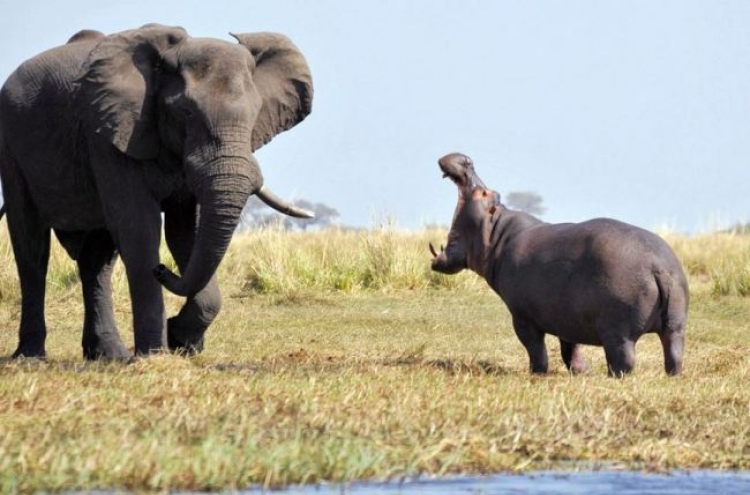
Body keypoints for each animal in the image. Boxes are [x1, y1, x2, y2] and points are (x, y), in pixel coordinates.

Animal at [0, 25, 314, 358]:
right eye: (186, 113)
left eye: (255, 114)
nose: (162, 269)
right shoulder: (110, 133)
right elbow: (140, 229)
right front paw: (156, 354)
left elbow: (186, 232)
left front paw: (181, 341)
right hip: (11, 145)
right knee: (31, 246)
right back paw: (32, 357)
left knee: (97, 260)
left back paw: (110, 356)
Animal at [432, 153, 692, 378]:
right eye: (494, 193)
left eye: (484, 193)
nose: (466, 160)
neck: (497, 234)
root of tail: (658, 267)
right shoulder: (567, 315)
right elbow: (570, 347)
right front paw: (582, 371)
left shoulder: (522, 316)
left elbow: (535, 348)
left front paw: (537, 373)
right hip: (676, 324)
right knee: (674, 352)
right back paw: (672, 375)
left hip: (618, 331)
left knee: (624, 361)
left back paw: (612, 377)